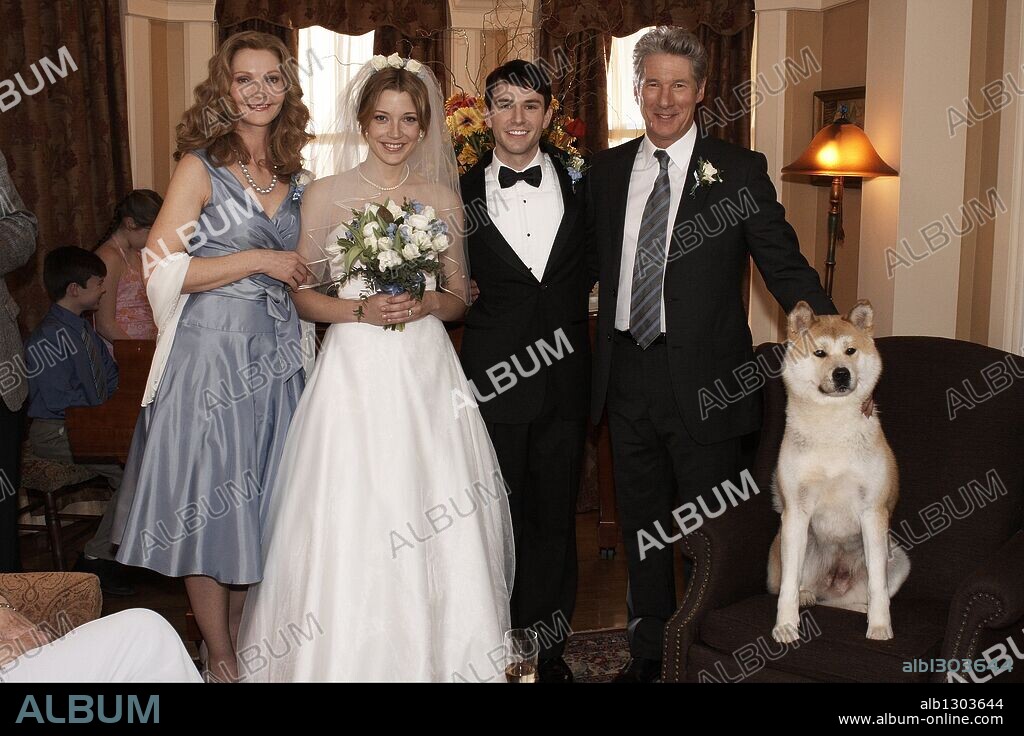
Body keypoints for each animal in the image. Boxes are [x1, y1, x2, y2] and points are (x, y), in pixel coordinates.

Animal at [770, 302, 913, 642]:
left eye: (850, 351)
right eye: (820, 353)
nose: (841, 373)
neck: (831, 428)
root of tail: (831, 588)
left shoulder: (873, 513)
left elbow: (877, 585)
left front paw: (879, 626)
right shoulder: (796, 513)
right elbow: (788, 587)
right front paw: (785, 626)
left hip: (897, 557)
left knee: (857, 598)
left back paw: (862, 609)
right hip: (791, 543)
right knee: (799, 585)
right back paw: (808, 596)